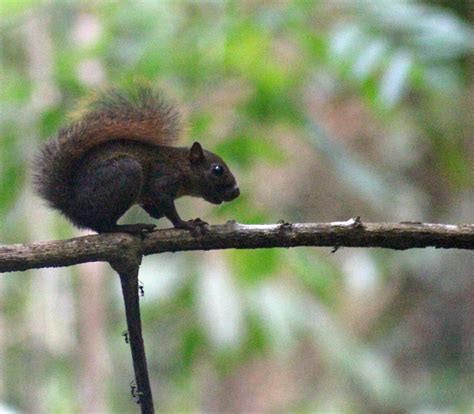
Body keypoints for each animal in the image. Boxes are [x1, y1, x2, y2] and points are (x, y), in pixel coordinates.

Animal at [33, 87, 241, 233]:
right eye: (217, 169)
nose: (236, 192)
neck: (180, 166)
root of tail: (72, 207)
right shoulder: (163, 180)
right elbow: (167, 206)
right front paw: (185, 224)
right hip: (126, 172)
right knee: (104, 227)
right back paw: (130, 227)